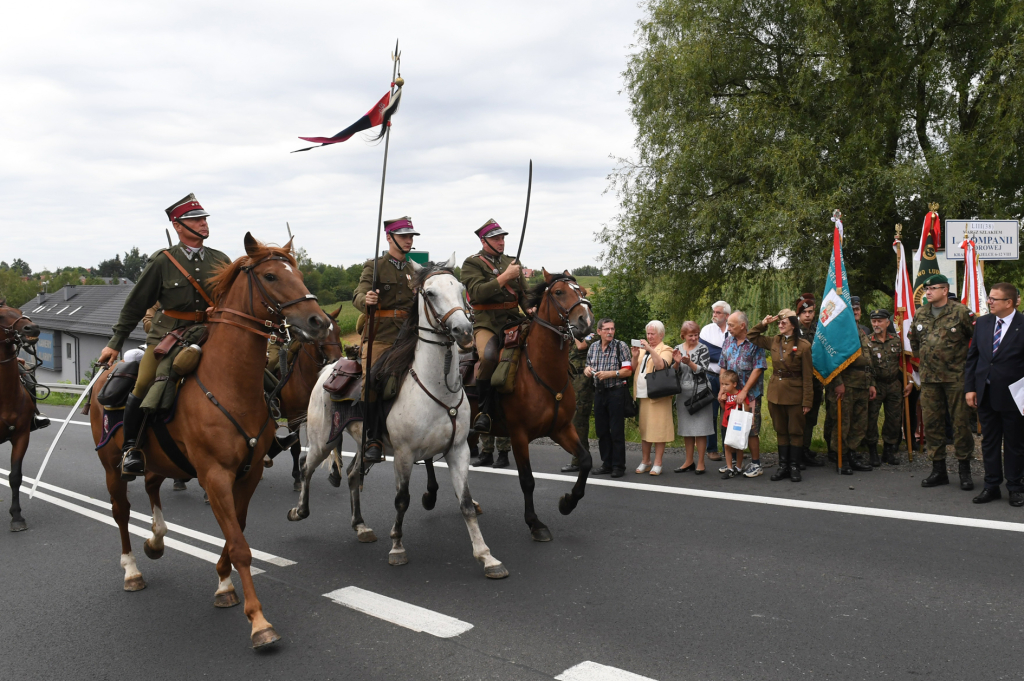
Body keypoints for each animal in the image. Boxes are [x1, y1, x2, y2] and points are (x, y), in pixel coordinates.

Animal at [91, 233, 325, 647]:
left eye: (297, 272)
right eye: (270, 276)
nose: (319, 321)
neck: (228, 382)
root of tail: (107, 373)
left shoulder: (248, 474)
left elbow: (236, 534)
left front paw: (224, 584)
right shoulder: (215, 475)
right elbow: (241, 546)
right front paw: (259, 622)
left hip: (162, 458)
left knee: (151, 486)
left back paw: (156, 540)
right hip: (112, 468)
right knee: (120, 512)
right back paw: (132, 570)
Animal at [288, 254, 507, 577]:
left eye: (460, 288)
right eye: (430, 293)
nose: (464, 331)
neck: (437, 387)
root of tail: (328, 369)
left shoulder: (458, 451)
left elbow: (466, 503)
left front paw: (486, 556)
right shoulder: (404, 455)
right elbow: (402, 500)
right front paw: (397, 547)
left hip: (364, 442)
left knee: (351, 475)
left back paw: (361, 526)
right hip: (322, 442)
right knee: (306, 468)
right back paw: (299, 511)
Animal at [468, 270, 593, 540]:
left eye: (582, 291)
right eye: (559, 292)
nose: (586, 321)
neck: (541, 370)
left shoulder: (561, 429)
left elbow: (586, 460)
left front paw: (568, 502)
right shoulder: (519, 435)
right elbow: (527, 480)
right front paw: (535, 523)